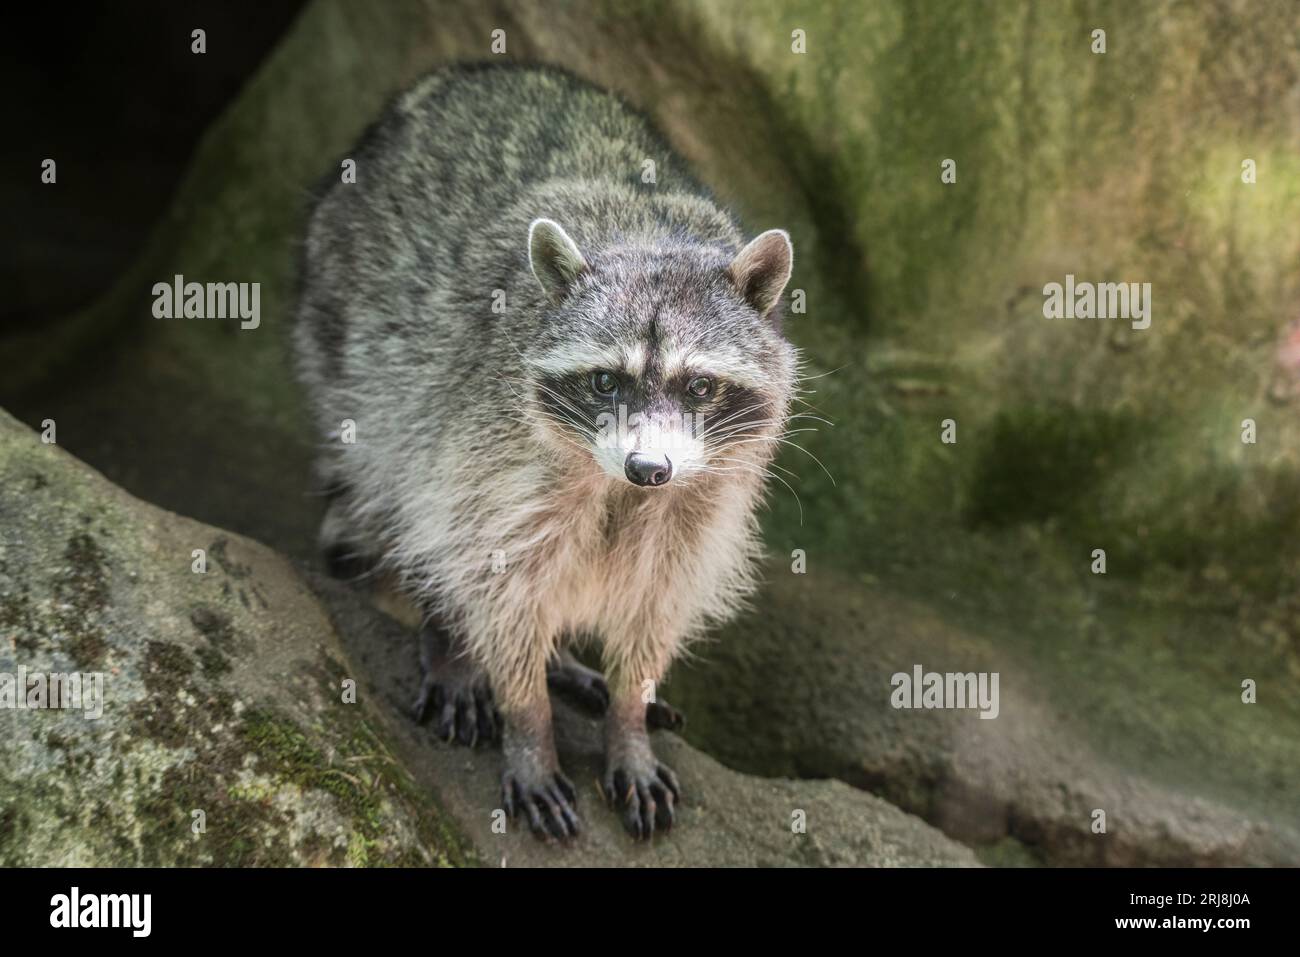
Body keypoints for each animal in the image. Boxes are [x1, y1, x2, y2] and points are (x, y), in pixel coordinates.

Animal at [293, 63, 798, 841]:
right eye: (605, 380)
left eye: (700, 386)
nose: (647, 468)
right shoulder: (493, 443)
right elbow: (493, 576)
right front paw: (527, 721)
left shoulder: (705, 493)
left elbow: (657, 599)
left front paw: (628, 714)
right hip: (353, 340)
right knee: (411, 492)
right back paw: (449, 634)